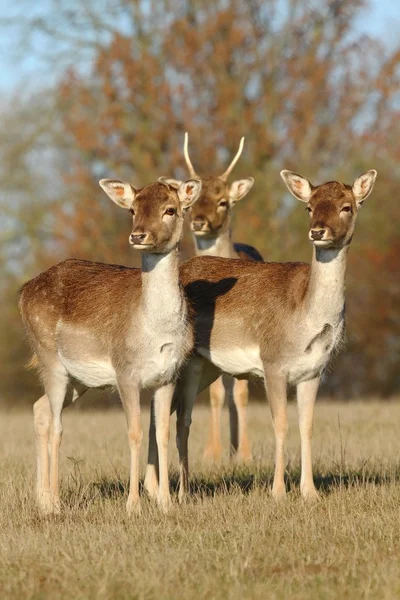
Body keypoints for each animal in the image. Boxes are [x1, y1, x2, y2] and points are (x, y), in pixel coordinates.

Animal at [18, 176, 202, 512]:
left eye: (170, 209)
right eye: (132, 209)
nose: (138, 234)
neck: (156, 334)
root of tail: (23, 292)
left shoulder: (169, 375)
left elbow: (163, 433)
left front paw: (166, 503)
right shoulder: (125, 371)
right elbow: (134, 432)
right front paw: (133, 505)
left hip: (79, 379)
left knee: (39, 409)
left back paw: (42, 500)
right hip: (49, 357)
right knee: (56, 424)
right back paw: (55, 503)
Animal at [145, 168, 376, 502]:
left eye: (347, 206)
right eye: (309, 207)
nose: (318, 231)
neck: (304, 317)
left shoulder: (314, 371)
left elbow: (307, 426)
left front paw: (310, 492)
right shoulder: (273, 362)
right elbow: (280, 424)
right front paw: (278, 492)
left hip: (205, 367)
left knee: (170, 416)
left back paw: (165, 489)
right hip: (182, 365)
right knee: (170, 416)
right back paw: (163, 490)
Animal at [159, 135, 262, 464]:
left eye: (223, 201)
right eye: (192, 204)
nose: (200, 222)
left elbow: (241, 394)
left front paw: (246, 455)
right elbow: (215, 395)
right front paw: (212, 454)